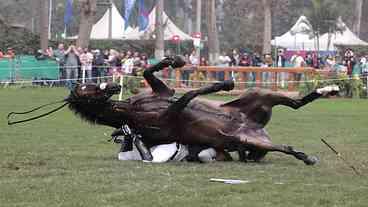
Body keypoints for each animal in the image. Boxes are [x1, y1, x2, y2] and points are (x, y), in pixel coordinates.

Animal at [63, 56, 340, 165]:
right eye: (85, 88)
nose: (112, 84)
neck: (130, 109)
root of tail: (257, 130)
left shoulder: (163, 92)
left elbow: (149, 72)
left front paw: (175, 60)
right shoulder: (171, 113)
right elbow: (188, 94)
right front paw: (222, 84)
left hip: (259, 95)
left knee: (296, 103)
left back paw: (329, 89)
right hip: (248, 139)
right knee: (287, 146)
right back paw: (306, 157)